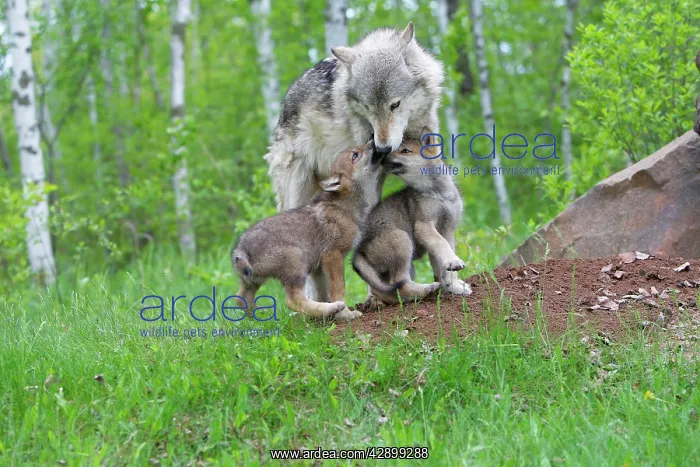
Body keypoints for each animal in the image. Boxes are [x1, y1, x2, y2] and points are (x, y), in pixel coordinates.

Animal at [232, 142, 383, 320]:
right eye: (355, 155)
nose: (373, 141)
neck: (346, 206)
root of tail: (240, 250)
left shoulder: (319, 266)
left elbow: (323, 291)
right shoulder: (332, 255)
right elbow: (339, 289)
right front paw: (346, 314)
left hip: (254, 281)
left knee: (241, 299)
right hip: (297, 264)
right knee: (293, 300)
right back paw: (332, 308)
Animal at [264, 21, 444, 301]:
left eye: (395, 104)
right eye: (368, 107)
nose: (382, 148)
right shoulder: (373, 175)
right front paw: (376, 295)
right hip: (296, 192)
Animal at [352, 128, 472, 305]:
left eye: (405, 151)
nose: (381, 154)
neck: (437, 193)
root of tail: (358, 253)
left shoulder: (447, 230)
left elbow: (443, 265)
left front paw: (454, 287)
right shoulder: (425, 226)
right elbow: (442, 245)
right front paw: (453, 263)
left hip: (406, 265)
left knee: (386, 288)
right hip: (402, 240)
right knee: (397, 284)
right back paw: (427, 289)